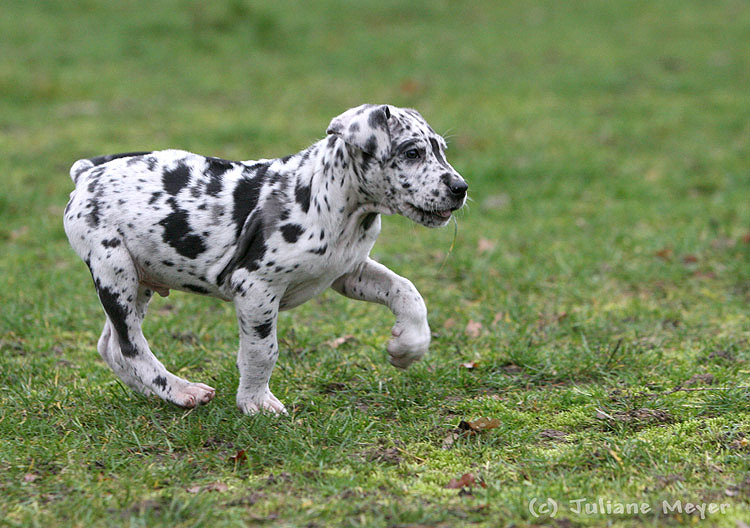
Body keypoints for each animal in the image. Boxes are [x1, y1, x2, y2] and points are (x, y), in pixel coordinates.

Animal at [64, 103, 468, 414]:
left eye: (441, 150)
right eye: (412, 153)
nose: (460, 188)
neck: (332, 204)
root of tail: (88, 171)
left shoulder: (348, 272)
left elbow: (407, 291)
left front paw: (408, 346)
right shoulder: (256, 287)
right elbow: (263, 351)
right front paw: (256, 402)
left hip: (140, 278)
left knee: (112, 346)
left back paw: (159, 394)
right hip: (115, 269)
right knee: (130, 346)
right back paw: (182, 390)